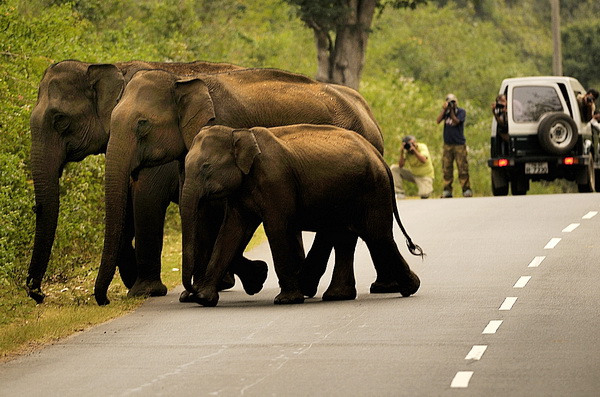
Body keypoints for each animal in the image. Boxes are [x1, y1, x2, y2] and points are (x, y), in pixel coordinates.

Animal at [96, 66, 396, 304]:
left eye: (142, 124)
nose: (104, 301)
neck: (182, 79)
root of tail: (369, 116)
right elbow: (196, 206)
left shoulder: (220, 126)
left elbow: (213, 210)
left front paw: (252, 278)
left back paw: (314, 285)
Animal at [180, 124, 420, 306]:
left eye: (206, 167)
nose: (190, 292)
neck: (239, 132)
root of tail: (380, 159)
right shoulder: (241, 190)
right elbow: (230, 231)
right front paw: (204, 299)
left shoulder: (275, 181)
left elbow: (275, 227)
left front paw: (286, 300)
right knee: (347, 237)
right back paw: (337, 295)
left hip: (372, 190)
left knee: (377, 236)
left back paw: (410, 288)